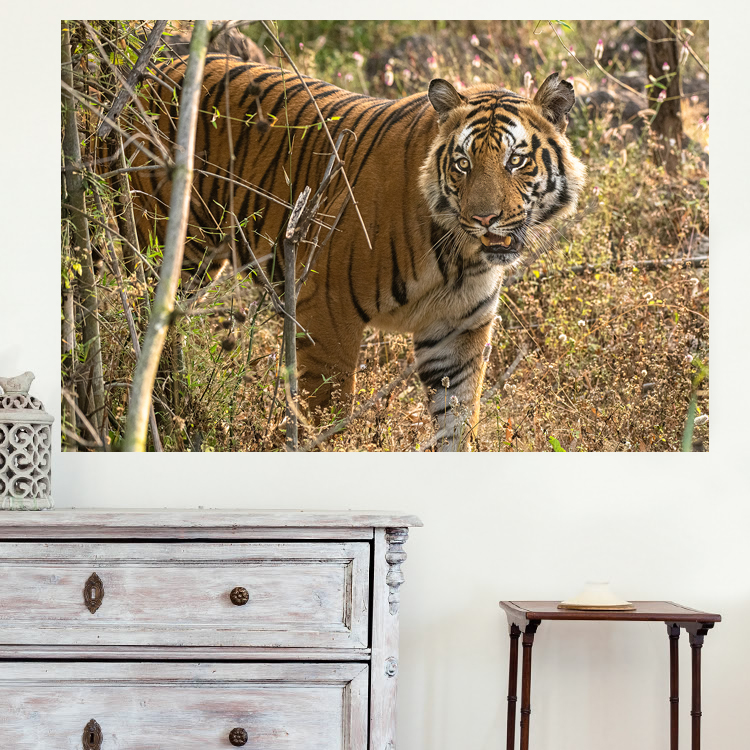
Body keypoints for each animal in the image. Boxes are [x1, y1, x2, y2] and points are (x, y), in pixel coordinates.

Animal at [122, 55, 586, 450]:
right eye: (463, 164)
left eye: (515, 161)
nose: (485, 218)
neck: (461, 255)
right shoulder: (327, 315)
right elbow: (327, 418)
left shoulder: (459, 332)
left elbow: (457, 425)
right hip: (159, 245)